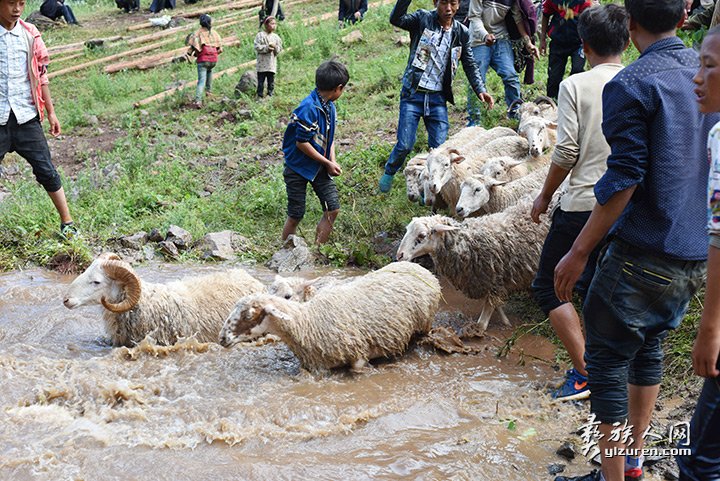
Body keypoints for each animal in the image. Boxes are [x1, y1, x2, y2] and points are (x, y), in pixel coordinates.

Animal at [222, 260, 442, 370]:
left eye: (248, 315)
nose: (222, 338)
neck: (308, 320)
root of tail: (418, 266)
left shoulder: (358, 356)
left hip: (425, 322)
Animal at [394, 194, 552, 334]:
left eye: (422, 235)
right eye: (407, 230)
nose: (399, 255)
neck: (468, 243)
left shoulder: (494, 280)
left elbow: (483, 320)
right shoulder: (490, 282)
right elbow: (495, 305)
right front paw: (505, 321)